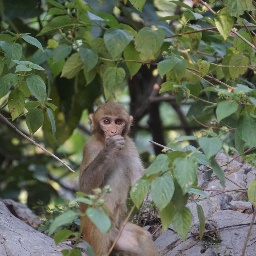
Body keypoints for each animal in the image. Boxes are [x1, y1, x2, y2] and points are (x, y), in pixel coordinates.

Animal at [79, 102, 158, 256]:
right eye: (106, 121)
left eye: (118, 122)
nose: (113, 131)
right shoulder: (90, 147)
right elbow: (85, 189)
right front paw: (108, 149)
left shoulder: (129, 146)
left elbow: (139, 181)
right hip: (95, 226)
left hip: (119, 234)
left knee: (142, 238)